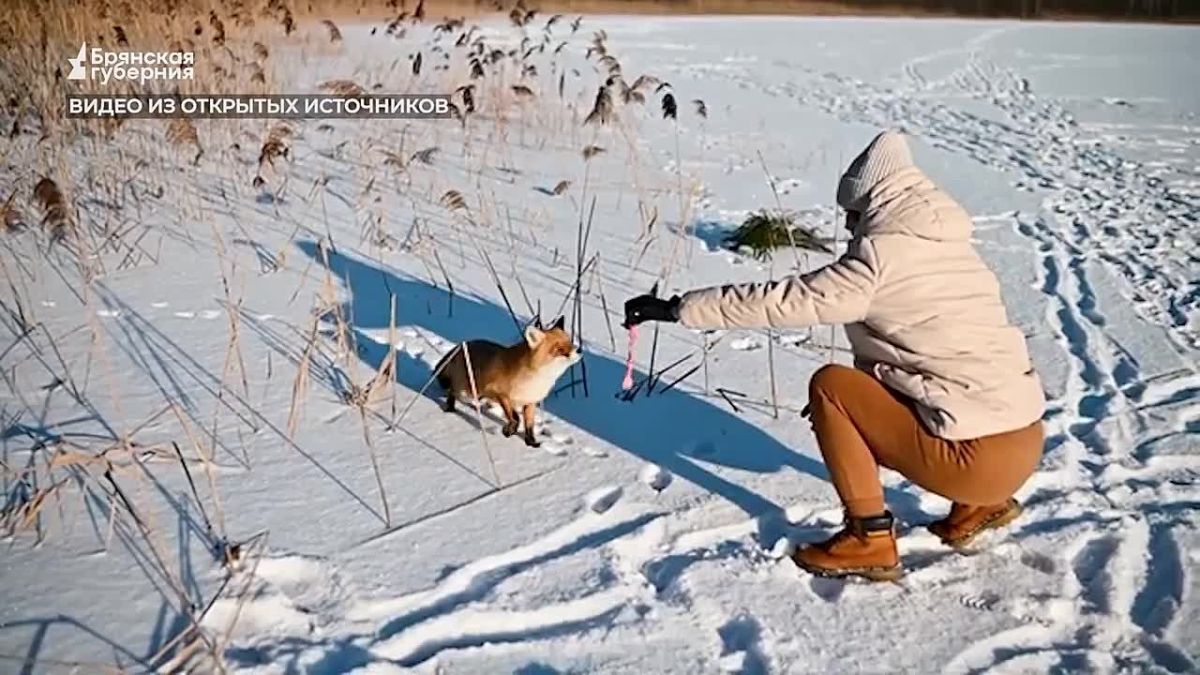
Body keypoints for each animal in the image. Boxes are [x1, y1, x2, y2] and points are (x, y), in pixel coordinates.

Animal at [434, 315, 580, 447]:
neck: (534, 381)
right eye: (560, 349)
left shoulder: (530, 402)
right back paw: (450, 408)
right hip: (464, 390)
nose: (579, 350)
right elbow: (515, 417)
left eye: (570, 343)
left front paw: (531, 442)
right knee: (451, 391)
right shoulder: (500, 394)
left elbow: (529, 425)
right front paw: (508, 431)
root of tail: (459, 346)